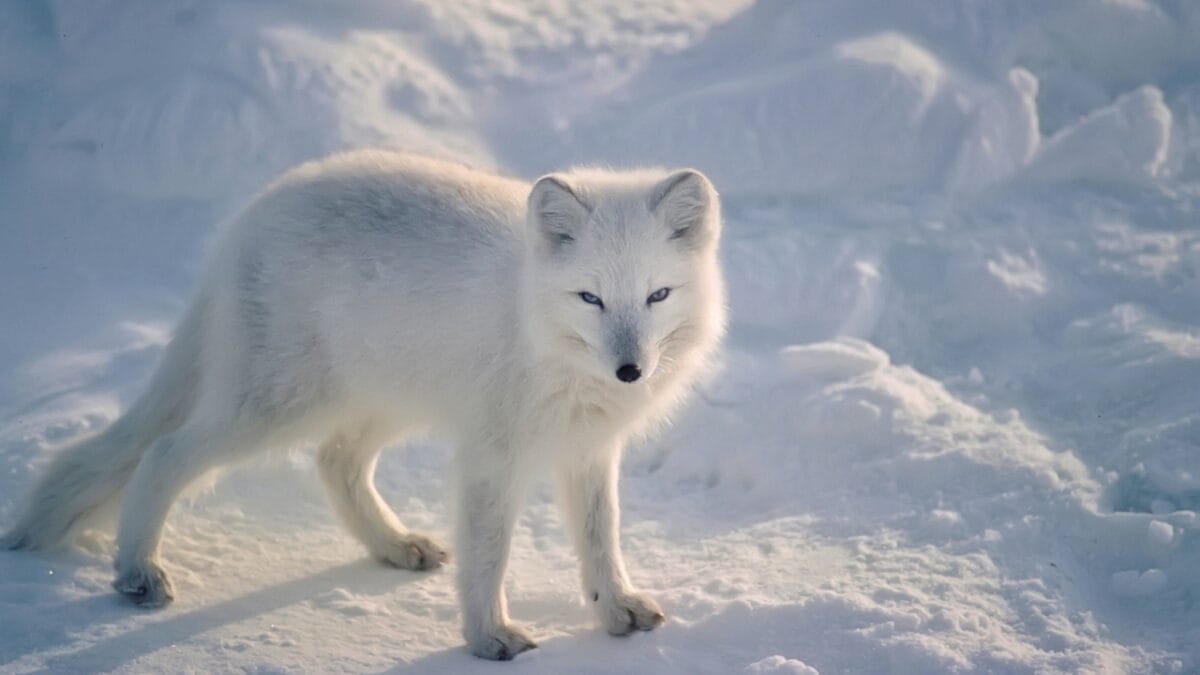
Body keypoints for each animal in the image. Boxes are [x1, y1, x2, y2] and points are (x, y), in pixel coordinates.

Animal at [2, 150, 726, 660]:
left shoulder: (587, 449)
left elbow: (602, 539)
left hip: (376, 400)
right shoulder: (492, 455)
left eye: (658, 295)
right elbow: (489, 553)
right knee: (163, 451)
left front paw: (616, 611)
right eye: (590, 298)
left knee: (335, 463)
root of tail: (247, 219)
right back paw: (137, 570)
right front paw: (488, 635)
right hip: (273, 406)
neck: (535, 325)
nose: (630, 372)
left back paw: (395, 545)